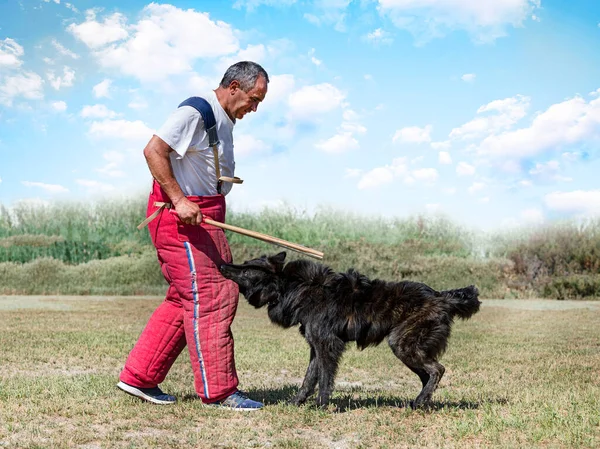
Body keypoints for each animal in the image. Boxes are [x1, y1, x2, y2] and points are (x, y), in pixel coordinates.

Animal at [218, 250, 480, 408]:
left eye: (245, 270)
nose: (221, 264)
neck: (292, 288)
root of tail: (441, 295)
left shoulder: (327, 345)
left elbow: (325, 379)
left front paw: (321, 406)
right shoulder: (316, 347)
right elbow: (308, 379)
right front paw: (296, 403)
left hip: (402, 344)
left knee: (437, 369)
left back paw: (420, 401)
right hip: (408, 350)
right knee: (428, 374)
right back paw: (420, 402)